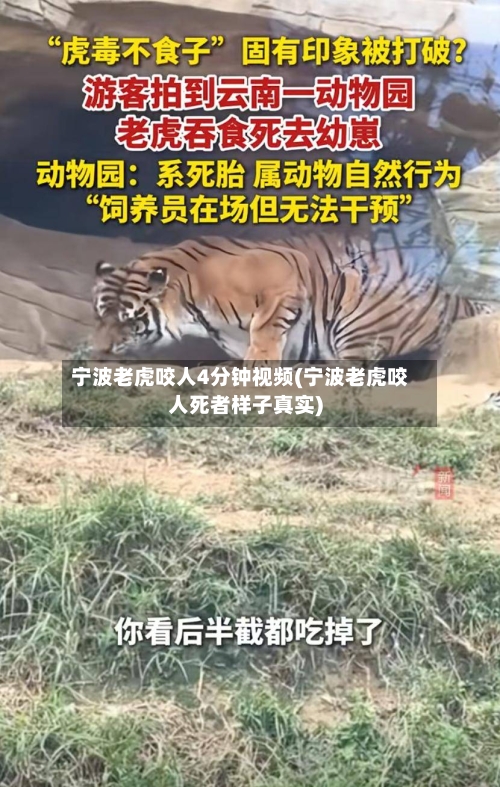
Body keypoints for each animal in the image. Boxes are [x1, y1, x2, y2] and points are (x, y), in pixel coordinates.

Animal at [91, 231, 494, 364]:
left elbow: (265, 333)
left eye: (130, 319)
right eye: (100, 316)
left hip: (357, 322)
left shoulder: (281, 284)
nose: (99, 352)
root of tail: (453, 298)